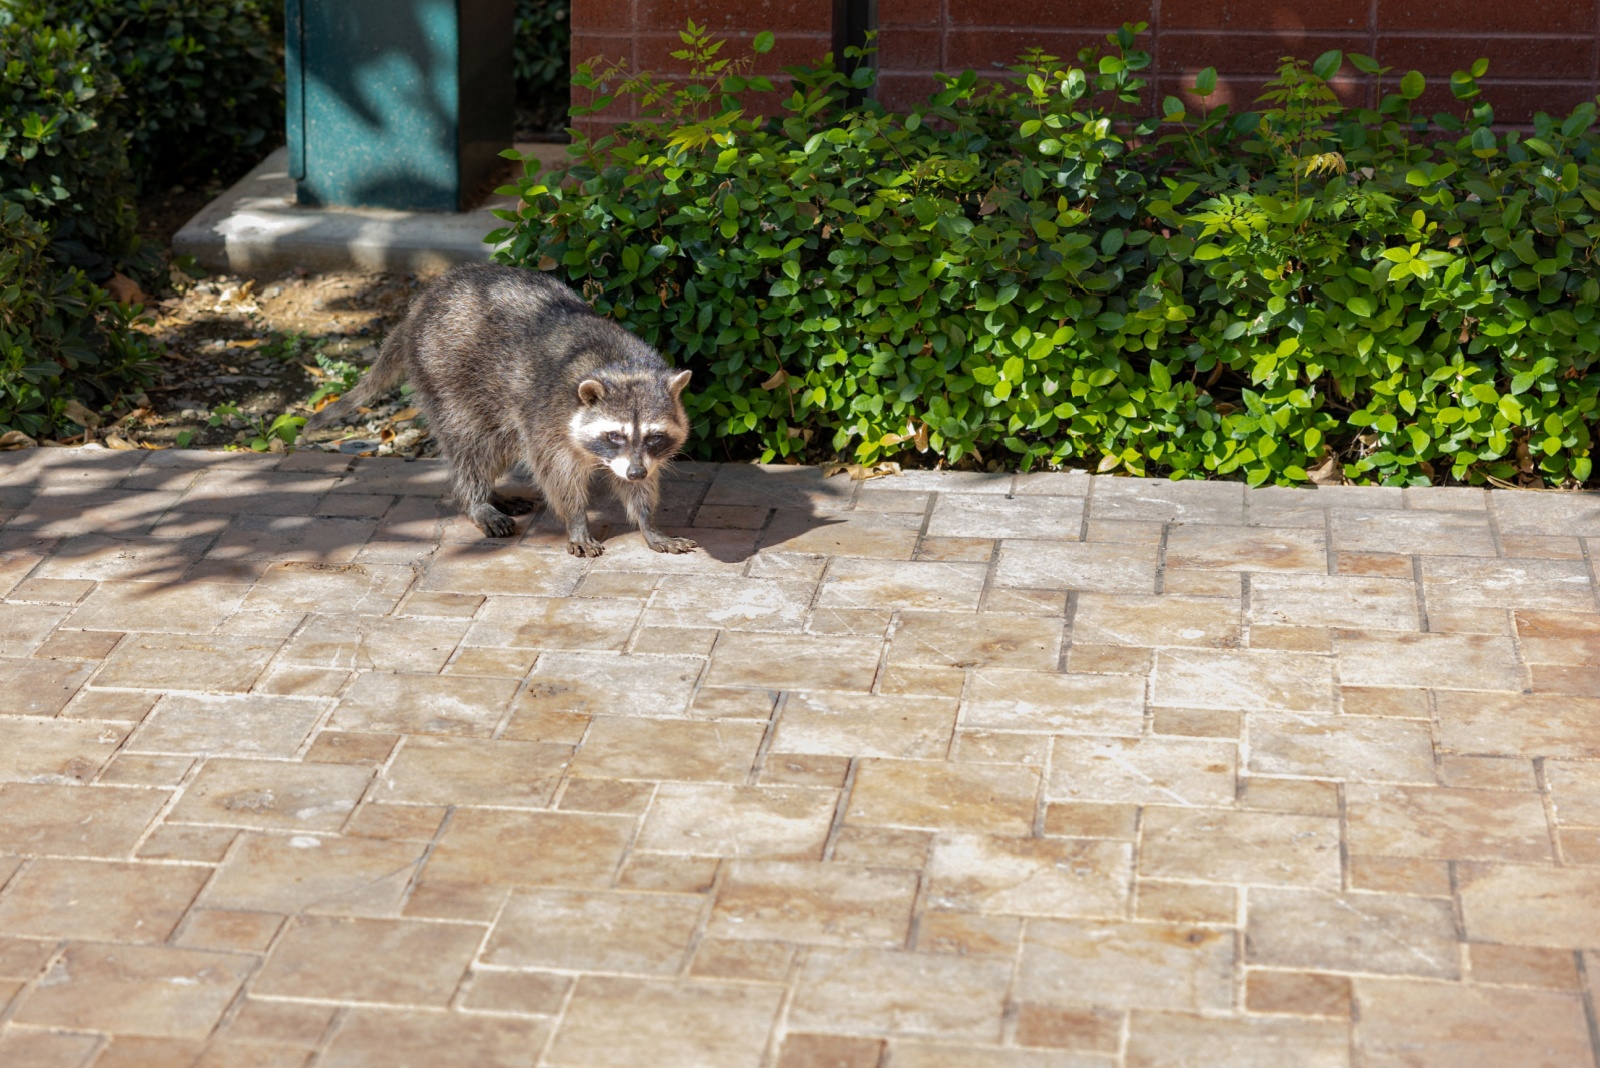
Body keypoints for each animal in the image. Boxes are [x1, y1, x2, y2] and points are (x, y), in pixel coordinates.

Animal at [308, 263, 697, 556]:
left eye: (654, 436)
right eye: (614, 435)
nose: (635, 472)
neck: (621, 366)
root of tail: (420, 306)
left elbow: (639, 487)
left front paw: (648, 521)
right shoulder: (550, 417)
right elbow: (557, 474)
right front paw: (577, 521)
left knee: (499, 445)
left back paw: (491, 493)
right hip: (445, 372)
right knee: (471, 444)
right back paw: (475, 498)